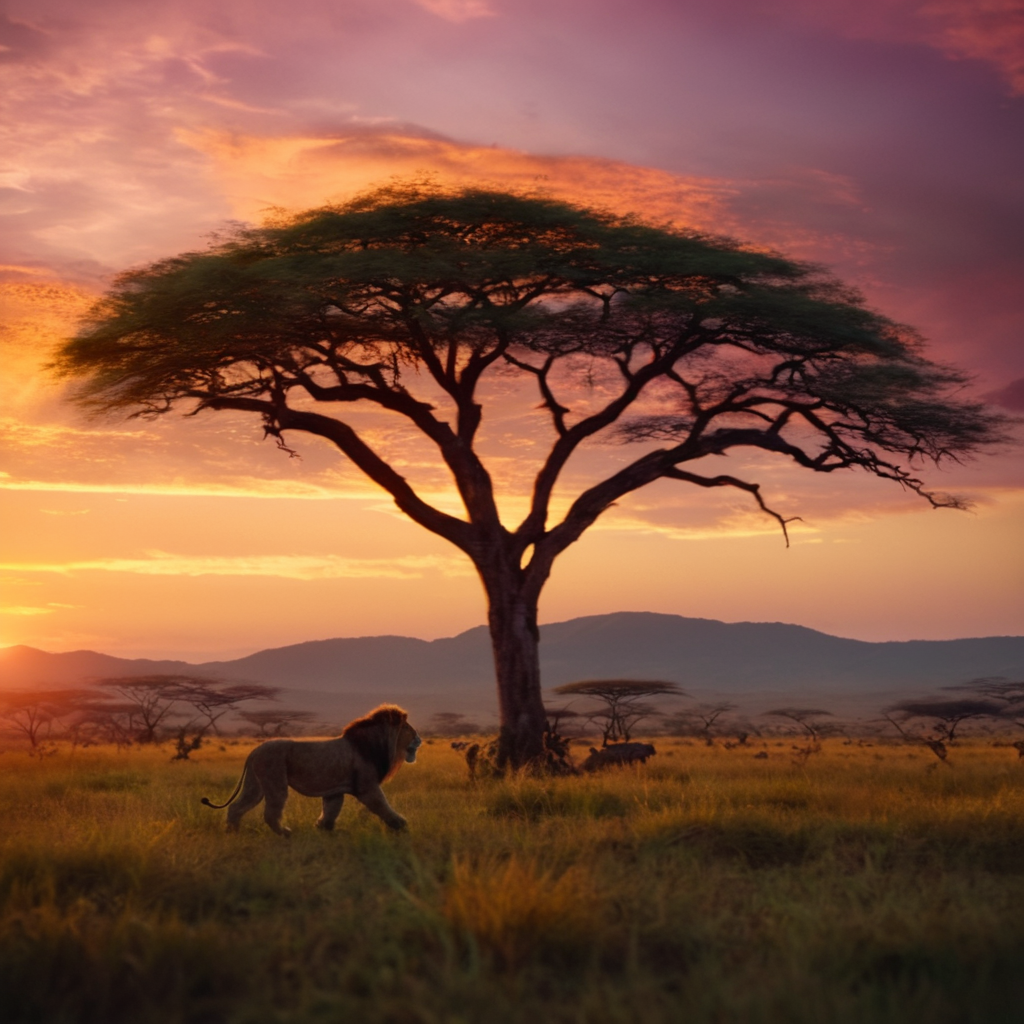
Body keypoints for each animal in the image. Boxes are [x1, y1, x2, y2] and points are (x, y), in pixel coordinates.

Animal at [201, 704, 421, 837]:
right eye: (409, 729)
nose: (420, 739)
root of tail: (254, 750)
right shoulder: (367, 787)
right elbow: (383, 806)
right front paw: (402, 825)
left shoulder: (335, 791)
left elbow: (330, 811)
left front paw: (323, 829)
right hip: (275, 780)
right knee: (270, 812)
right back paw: (285, 833)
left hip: (255, 785)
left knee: (236, 807)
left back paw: (232, 833)